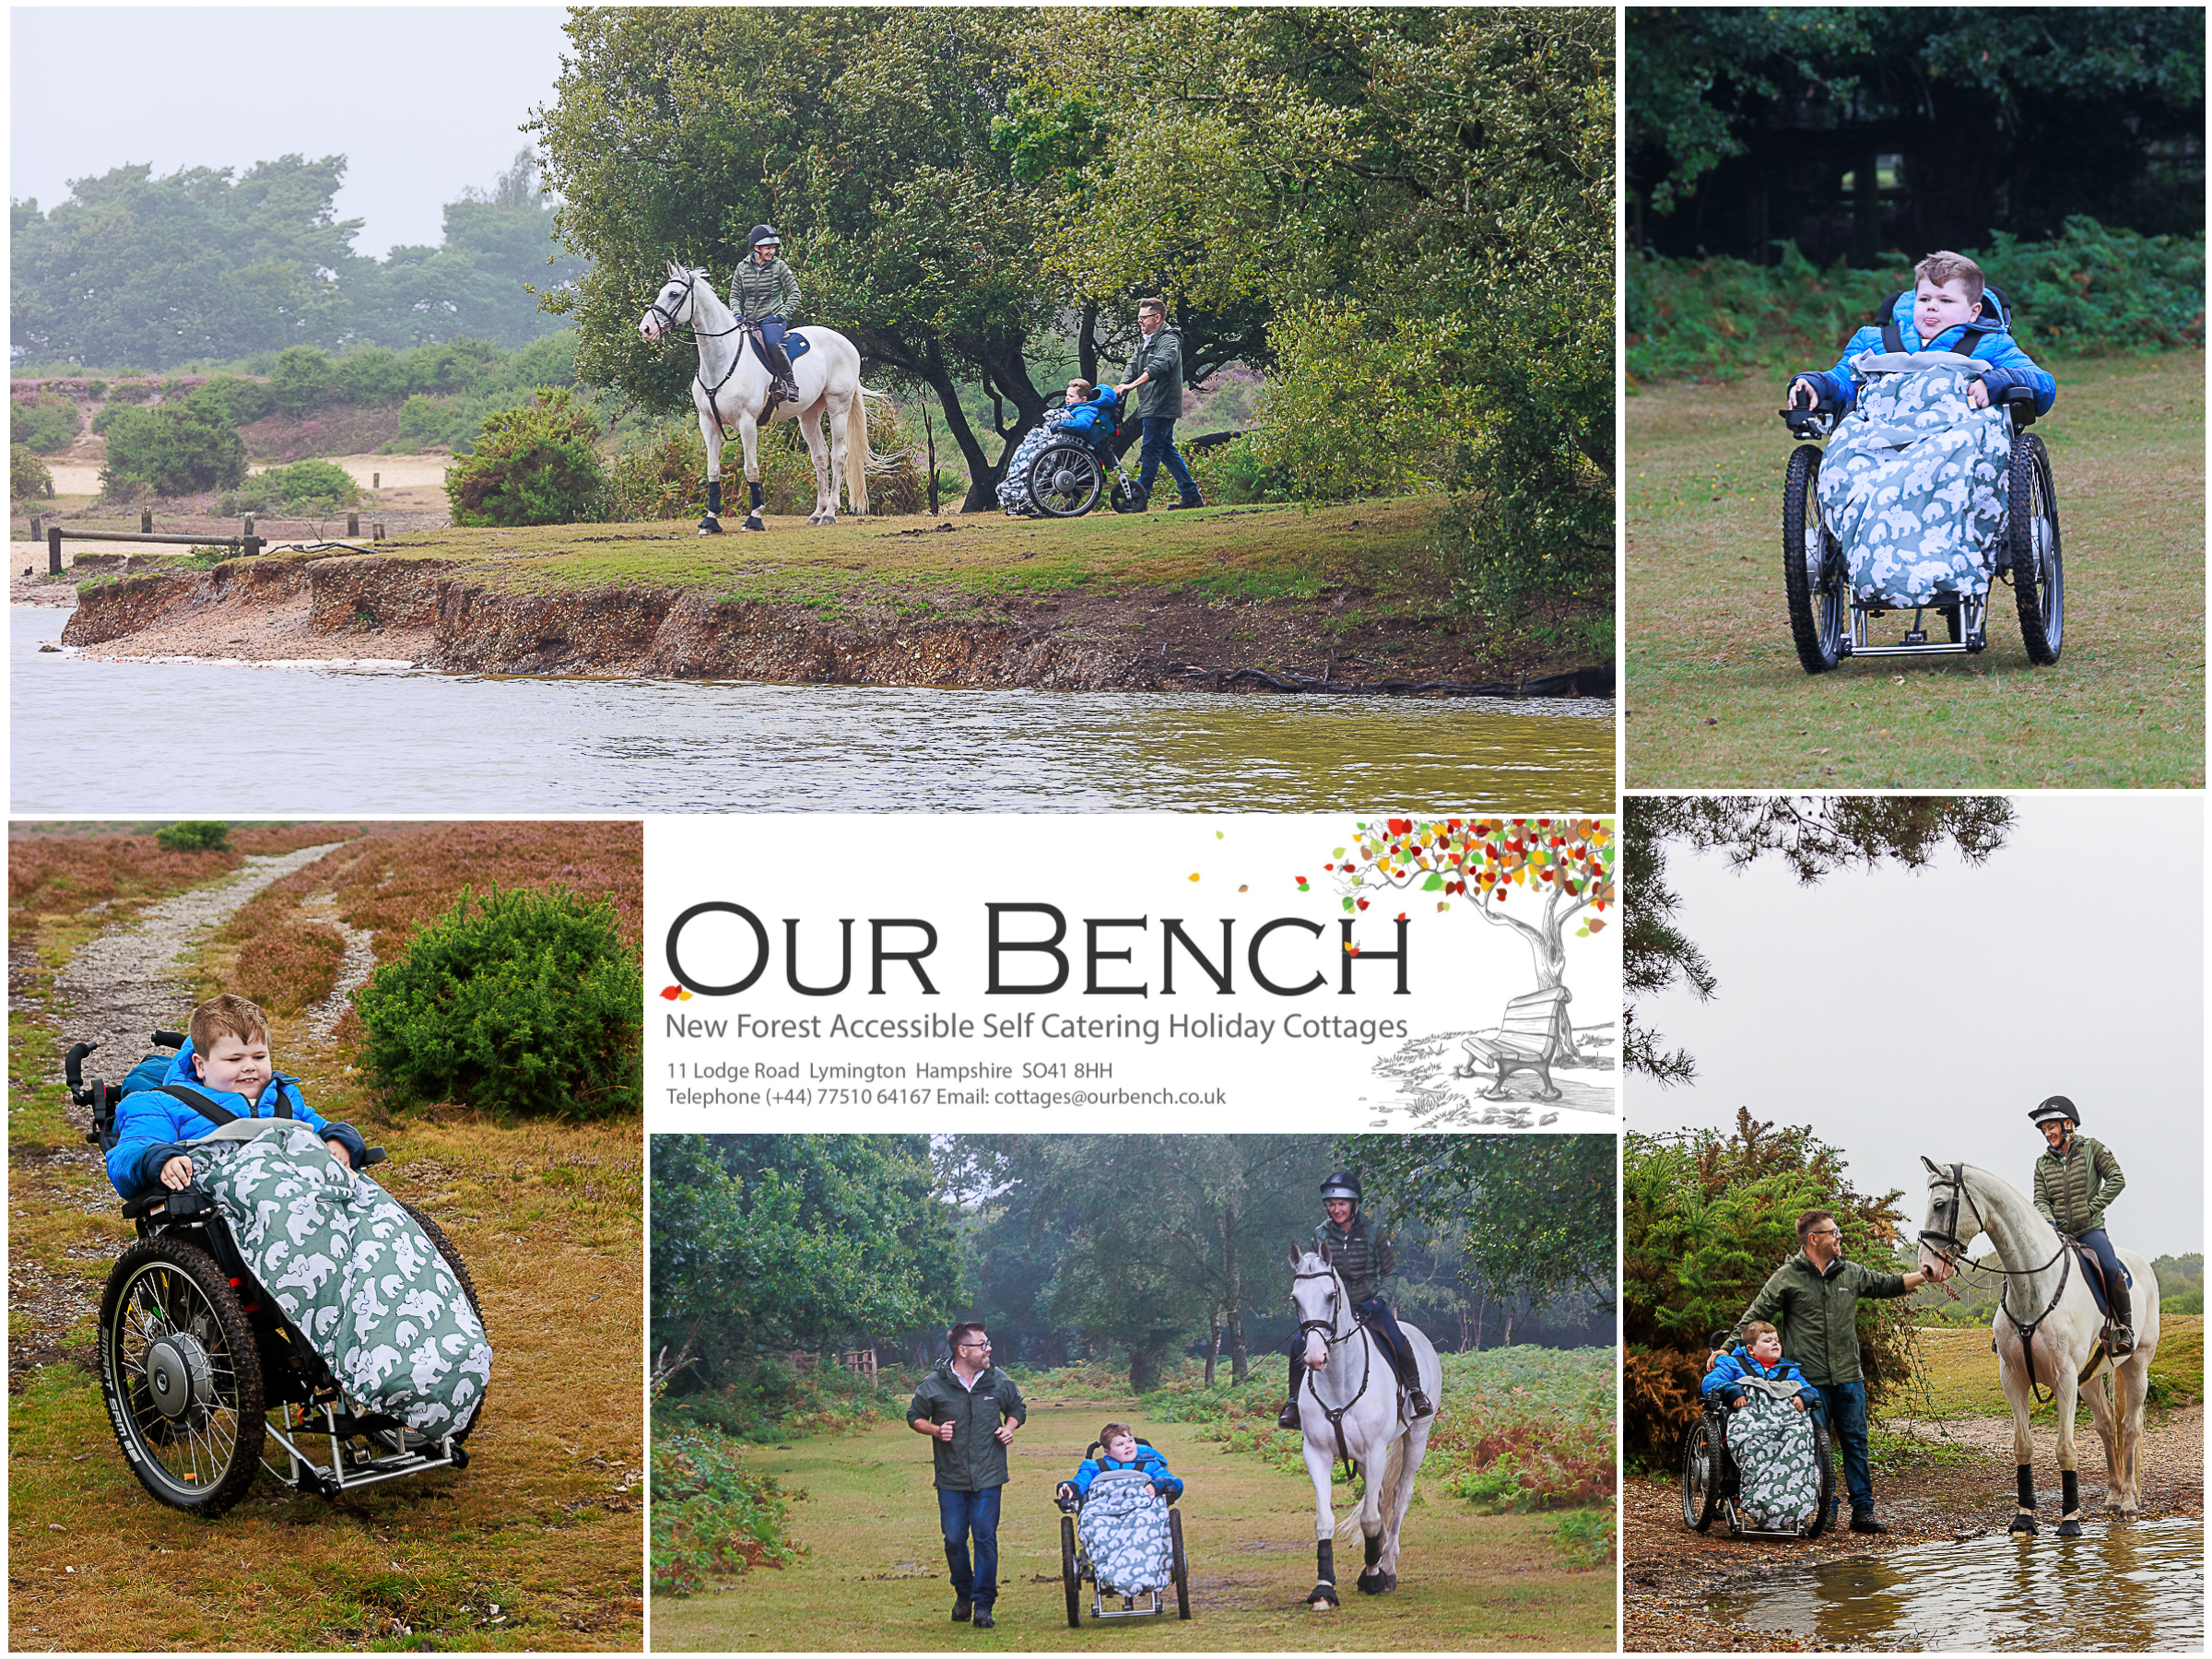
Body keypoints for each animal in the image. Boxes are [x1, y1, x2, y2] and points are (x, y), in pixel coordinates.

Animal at [637, 264, 876, 533]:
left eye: (674, 294)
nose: (646, 329)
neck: (721, 360)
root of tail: (846, 343)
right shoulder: (708, 423)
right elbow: (713, 470)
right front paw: (710, 520)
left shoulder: (747, 422)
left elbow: (750, 468)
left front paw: (754, 518)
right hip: (809, 414)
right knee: (820, 457)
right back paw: (817, 513)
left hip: (838, 407)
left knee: (838, 456)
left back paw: (830, 513)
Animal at [1291, 1256, 1441, 1601]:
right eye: (1295, 1299)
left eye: (1331, 1295)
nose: (1315, 1356)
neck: (1339, 1380)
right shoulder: (1317, 1454)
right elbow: (1325, 1520)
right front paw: (1324, 1587)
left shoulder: (1375, 1452)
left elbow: (1370, 1519)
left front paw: (1375, 1576)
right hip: (1362, 1459)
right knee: (1383, 1497)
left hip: (1417, 1437)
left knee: (1400, 1497)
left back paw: (1388, 1565)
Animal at [1920, 1159, 2159, 1539]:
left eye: (1940, 1205)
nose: (1927, 1267)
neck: (2033, 1284)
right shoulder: (2013, 1378)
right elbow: (2023, 1447)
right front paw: (2024, 1518)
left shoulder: (2064, 1379)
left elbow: (2065, 1450)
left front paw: (2070, 1519)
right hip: (2089, 1379)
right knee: (2108, 1426)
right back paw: (2112, 1498)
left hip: (2136, 1366)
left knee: (2131, 1427)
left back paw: (2128, 1503)